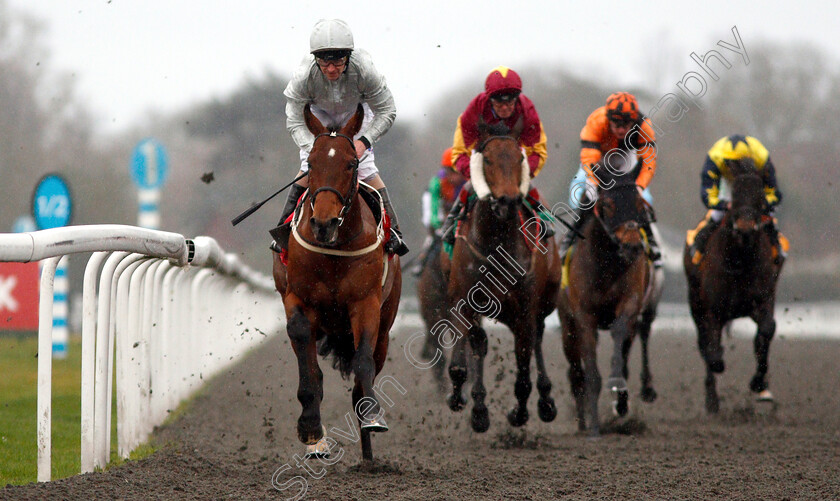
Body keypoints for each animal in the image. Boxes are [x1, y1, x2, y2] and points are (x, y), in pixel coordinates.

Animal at [270, 103, 400, 458]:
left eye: (351, 163)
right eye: (311, 164)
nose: (323, 224)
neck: (334, 249)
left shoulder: (366, 304)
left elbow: (362, 362)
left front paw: (372, 417)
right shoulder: (297, 300)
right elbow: (308, 366)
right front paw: (311, 429)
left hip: (386, 326)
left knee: (363, 373)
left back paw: (368, 455)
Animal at [442, 131, 560, 432]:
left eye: (519, 159)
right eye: (488, 160)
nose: (508, 200)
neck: (496, 244)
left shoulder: (525, 308)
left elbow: (523, 373)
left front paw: (518, 413)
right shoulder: (463, 301)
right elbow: (464, 359)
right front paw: (469, 405)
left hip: (543, 303)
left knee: (537, 338)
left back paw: (546, 401)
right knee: (480, 342)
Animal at [556, 180, 664, 434]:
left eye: (640, 205)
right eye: (607, 205)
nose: (632, 246)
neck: (605, 264)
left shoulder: (630, 306)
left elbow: (621, 343)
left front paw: (620, 395)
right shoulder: (584, 316)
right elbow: (590, 373)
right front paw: (593, 423)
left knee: (642, 332)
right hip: (567, 325)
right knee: (575, 372)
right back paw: (582, 421)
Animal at [684, 158, 784, 412]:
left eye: (759, 195)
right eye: (736, 194)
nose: (745, 227)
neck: (740, 259)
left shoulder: (764, 299)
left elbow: (766, 330)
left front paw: (759, 383)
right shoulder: (713, 310)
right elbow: (712, 352)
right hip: (695, 303)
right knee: (705, 345)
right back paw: (712, 401)